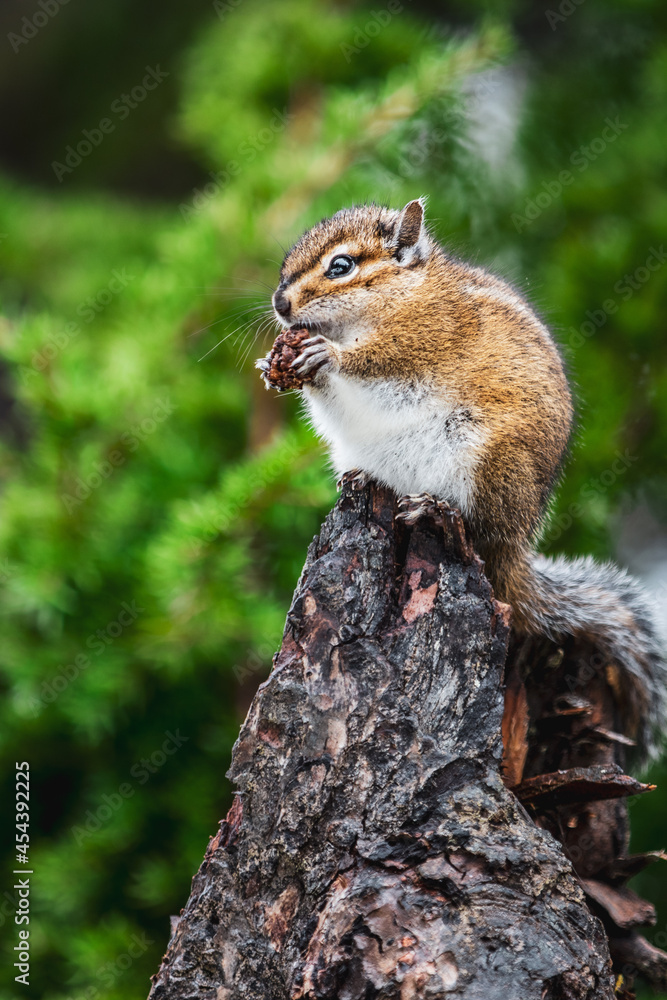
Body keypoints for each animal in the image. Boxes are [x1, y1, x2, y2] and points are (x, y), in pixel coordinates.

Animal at [256, 198, 665, 763]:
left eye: (341, 266)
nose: (280, 303)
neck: (397, 296)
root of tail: (515, 547)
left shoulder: (424, 337)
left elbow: (373, 361)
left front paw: (326, 356)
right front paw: (277, 365)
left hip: (486, 463)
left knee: (475, 525)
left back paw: (433, 510)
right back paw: (361, 481)